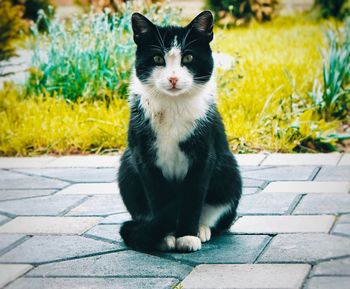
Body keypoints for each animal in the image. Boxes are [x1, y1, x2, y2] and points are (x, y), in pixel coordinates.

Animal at [117, 10, 241, 251]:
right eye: (157, 59)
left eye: (189, 58)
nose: (173, 78)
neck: (173, 107)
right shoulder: (144, 156)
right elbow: (158, 197)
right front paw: (164, 236)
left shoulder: (204, 154)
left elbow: (193, 197)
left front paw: (187, 236)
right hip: (127, 167)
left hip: (229, 171)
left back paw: (202, 228)